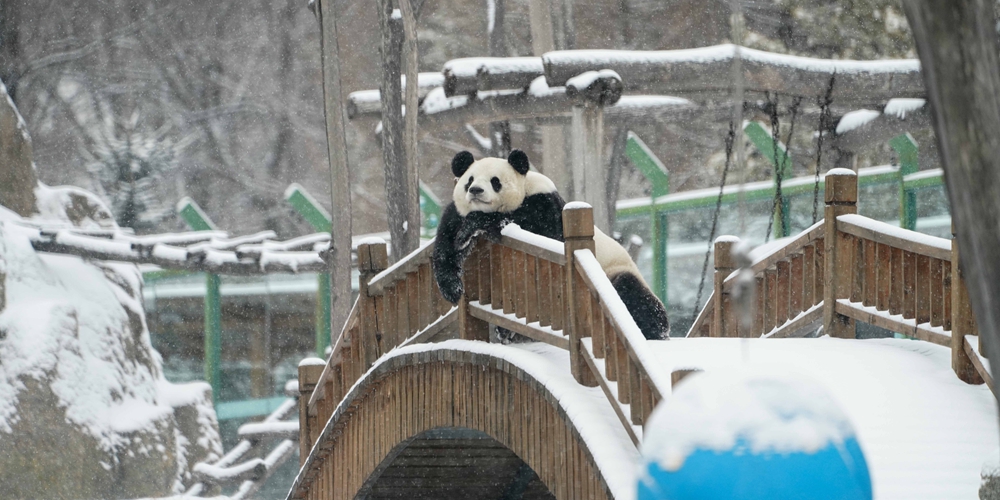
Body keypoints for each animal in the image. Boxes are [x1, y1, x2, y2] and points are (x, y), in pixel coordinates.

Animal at [432, 148, 672, 340]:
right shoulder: (455, 215)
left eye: (495, 181)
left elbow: (538, 232)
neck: (525, 188)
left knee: (633, 293)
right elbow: (446, 247)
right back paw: (506, 332)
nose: (475, 190)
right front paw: (453, 289)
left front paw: (476, 224)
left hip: (615, 271)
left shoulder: (545, 204)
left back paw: (654, 331)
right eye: (469, 180)